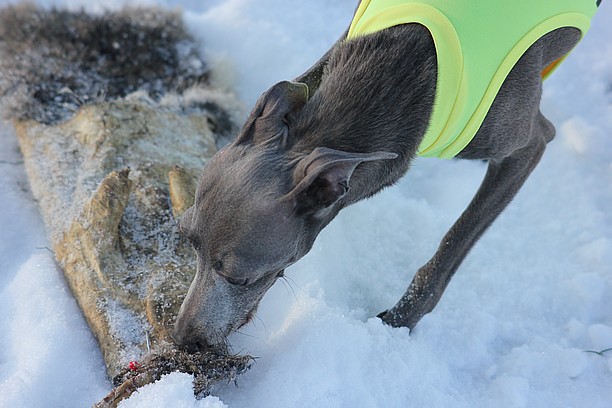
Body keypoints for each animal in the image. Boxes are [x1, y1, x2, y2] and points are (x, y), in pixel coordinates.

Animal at [173, 0, 596, 350]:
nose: (183, 340)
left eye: (240, 278)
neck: (406, 67)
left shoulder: (529, 144)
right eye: (188, 239)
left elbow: (452, 246)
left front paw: (397, 323)